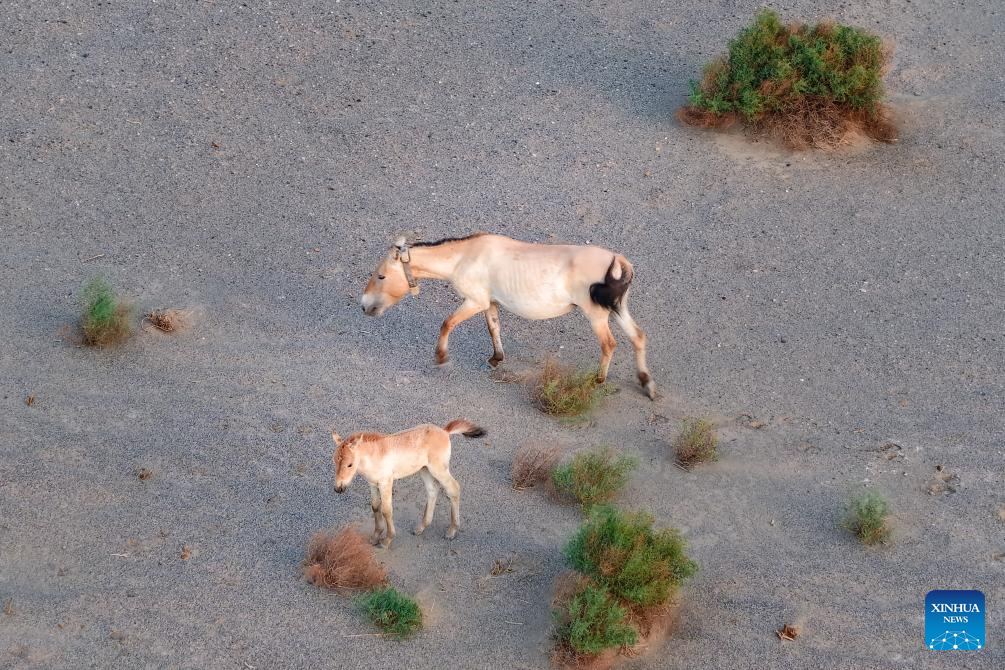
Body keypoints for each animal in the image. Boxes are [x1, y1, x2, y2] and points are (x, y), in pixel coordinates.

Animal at [332, 419, 486, 548]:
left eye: (350, 464)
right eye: (334, 461)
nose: (339, 488)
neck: (375, 455)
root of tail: (445, 431)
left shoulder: (386, 483)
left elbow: (386, 510)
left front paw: (386, 540)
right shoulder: (373, 484)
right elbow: (375, 507)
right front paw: (375, 537)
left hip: (438, 469)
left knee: (453, 489)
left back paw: (451, 531)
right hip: (424, 469)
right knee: (432, 490)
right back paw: (421, 527)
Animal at [359, 232, 656, 399]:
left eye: (381, 276)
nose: (364, 306)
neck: (464, 256)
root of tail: (618, 260)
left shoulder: (475, 301)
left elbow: (447, 323)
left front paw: (441, 357)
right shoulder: (491, 303)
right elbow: (494, 328)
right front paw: (496, 358)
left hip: (597, 315)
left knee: (609, 344)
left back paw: (599, 380)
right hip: (618, 309)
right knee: (638, 337)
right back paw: (647, 384)